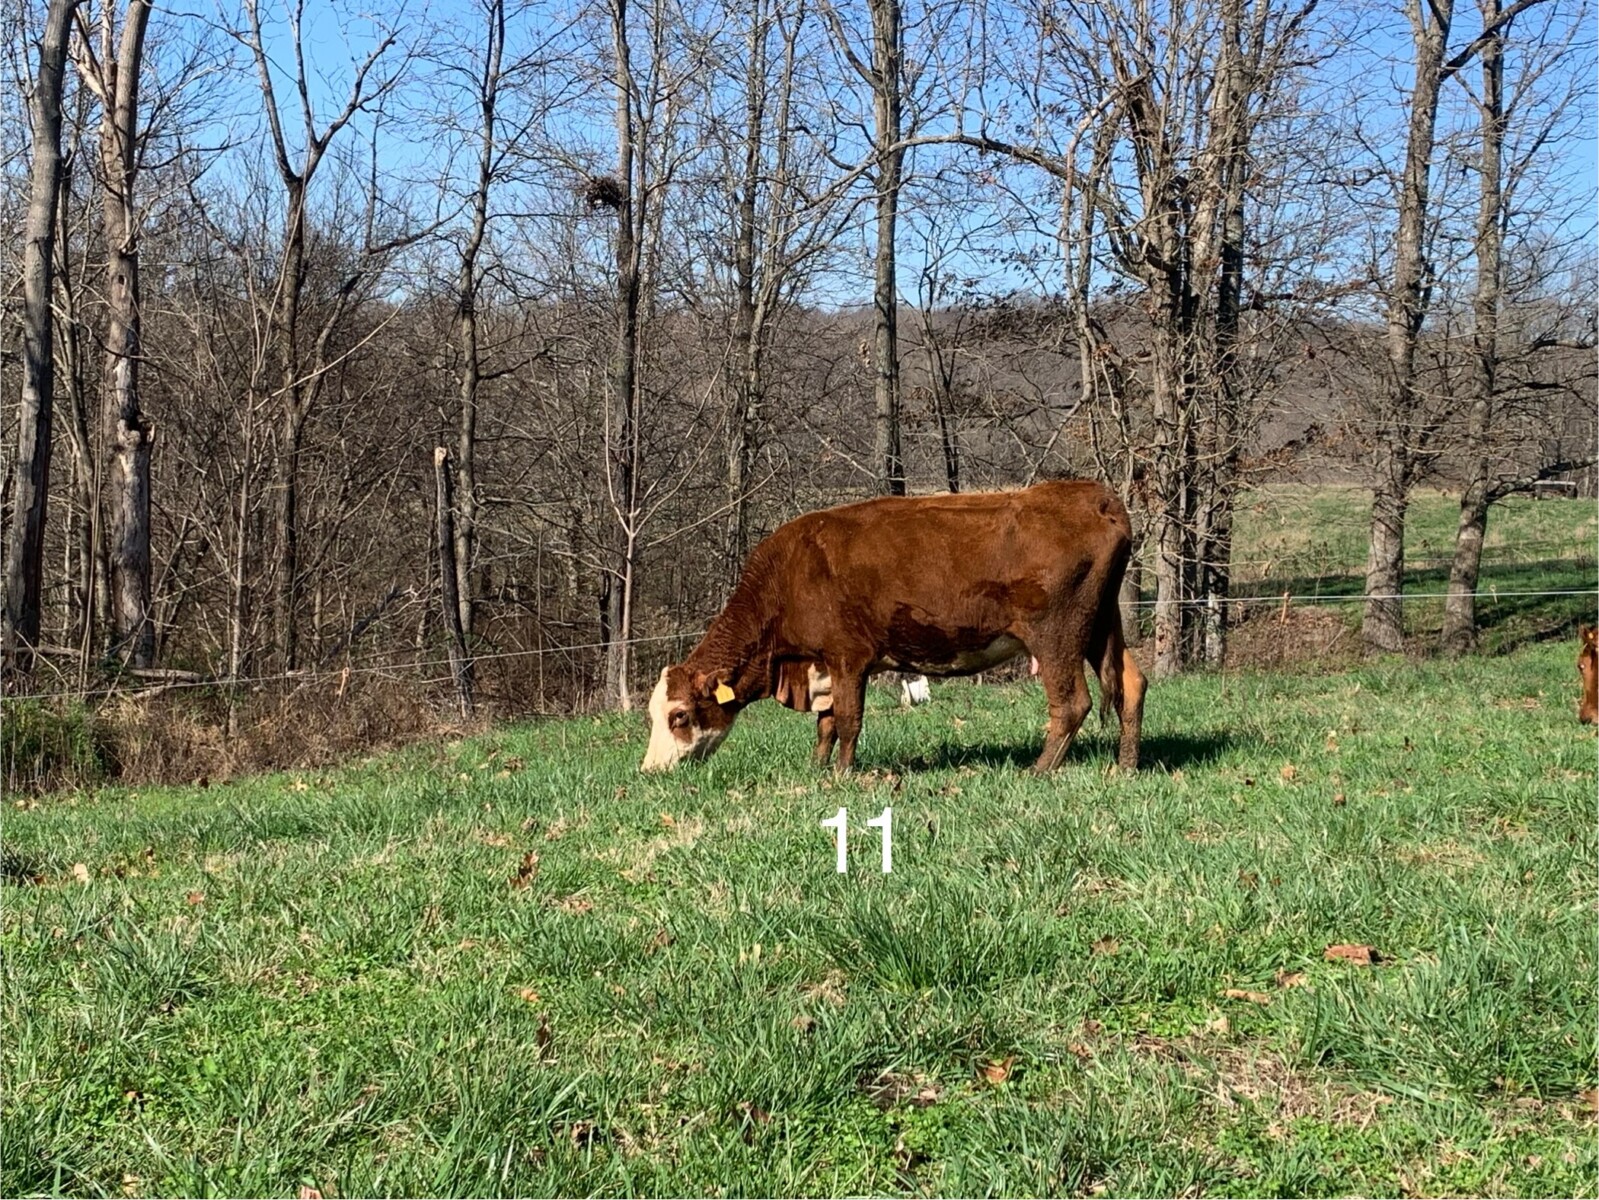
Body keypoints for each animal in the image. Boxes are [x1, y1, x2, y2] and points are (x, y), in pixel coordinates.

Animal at [641, 480, 1145, 774]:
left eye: (679, 715)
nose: (649, 769)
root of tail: (1094, 495)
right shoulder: (825, 664)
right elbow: (825, 724)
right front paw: (817, 769)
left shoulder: (847, 657)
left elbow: (847, 720)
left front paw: (842, 775)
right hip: (1102, 625)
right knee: (1132, 685)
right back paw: (1124, 767)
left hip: (1056, 636)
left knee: (1072, 703)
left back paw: (1040, 770)